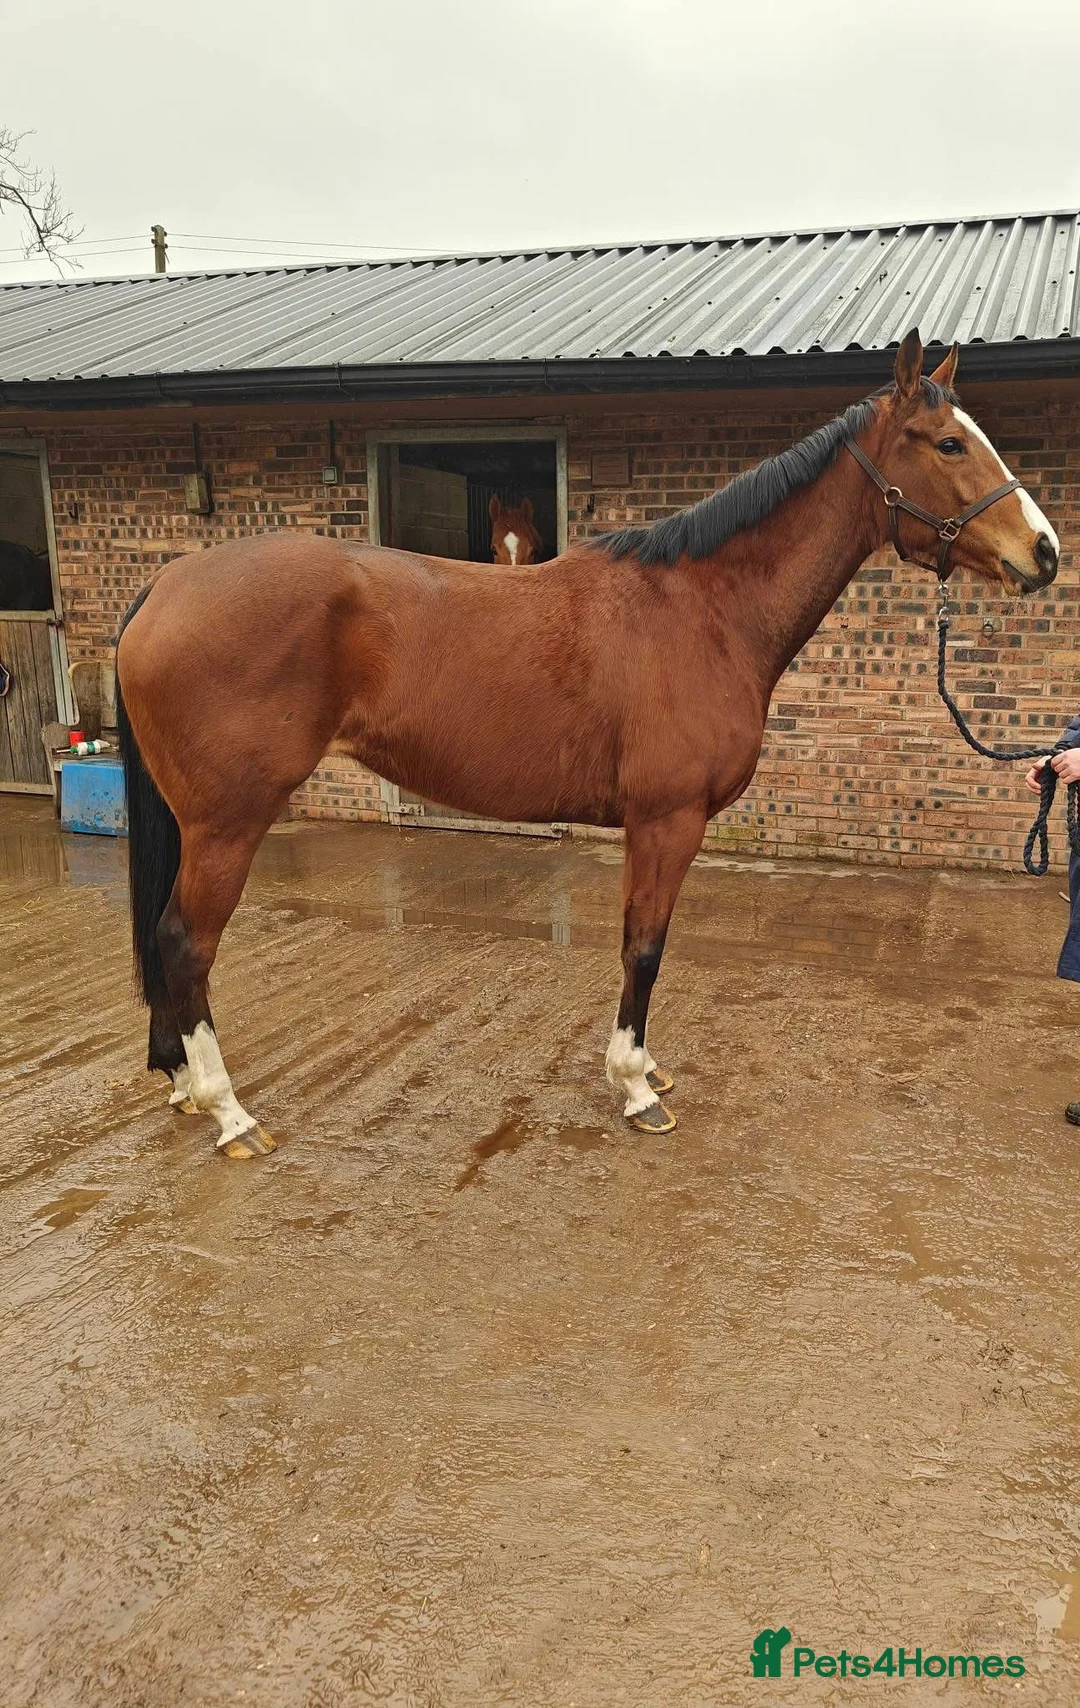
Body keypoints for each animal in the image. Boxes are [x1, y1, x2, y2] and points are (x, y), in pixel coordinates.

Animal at [116, 331, 1059, 1159]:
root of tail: (167, 584)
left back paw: (181, 1084)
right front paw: (636, 1087)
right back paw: (229, 1113)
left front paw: (645, 1071)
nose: (1044, 553)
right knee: (185, 941)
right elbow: (645, 946)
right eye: (948, 442)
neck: (705, 610)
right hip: (229, 821)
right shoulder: (667, 820)